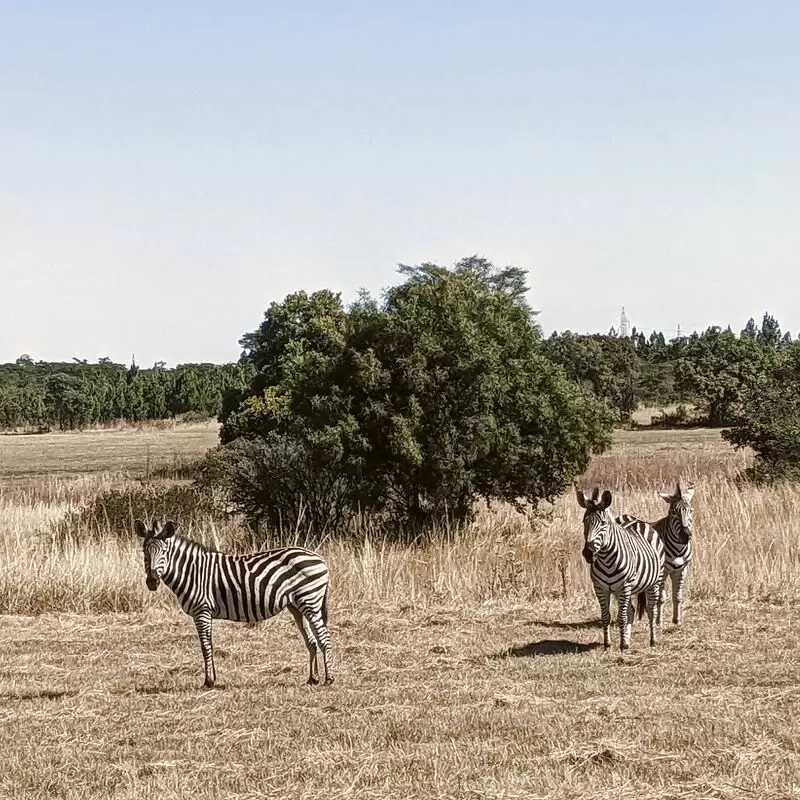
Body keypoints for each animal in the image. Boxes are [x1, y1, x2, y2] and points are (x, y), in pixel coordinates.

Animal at [134, 520, 332, 688]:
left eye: (164, 552)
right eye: (144, 552)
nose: (152, 582)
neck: (192, 572)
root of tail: (320, 558)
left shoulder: (202, 611)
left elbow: (205, 646)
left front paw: (209, 681)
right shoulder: (204, 613)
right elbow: (209, 645)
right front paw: (212, 678)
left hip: (310, 601)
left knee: (324, 638)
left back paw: (329, 679)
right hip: (296, 605)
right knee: (311, 641)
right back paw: (313, 679)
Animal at [576, 488, 668, 648]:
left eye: (603, 523)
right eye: (583, 521)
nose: (588, 553)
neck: (606, 559)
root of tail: (638, 522)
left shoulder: (624, 586)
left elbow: (621, 617)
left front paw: (621, 645)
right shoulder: (600, 588)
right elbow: (605, 616)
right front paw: (608, 643)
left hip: (654, 582)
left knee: (651, 610)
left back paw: (652, 640)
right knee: (631, 610)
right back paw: (627, 639)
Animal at [620, 484, 692, 628]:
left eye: (690, 511)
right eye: (673, 512)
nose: (685, 536)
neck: (679, 549)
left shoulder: (682, 569)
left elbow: (677, 596)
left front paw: (677, 620)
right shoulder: (662, 572)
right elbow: (661, 598)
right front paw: (659, 622)